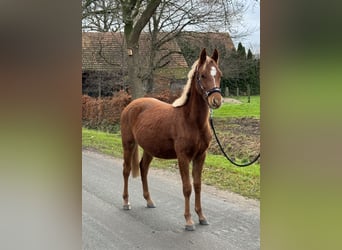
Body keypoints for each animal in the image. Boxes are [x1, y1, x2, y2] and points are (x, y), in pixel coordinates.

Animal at [121, 48, 223, 230]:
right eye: (203, 75)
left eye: (219, 74)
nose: (216, 100)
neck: (191, 121)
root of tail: (131, 105)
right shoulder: (183, 157)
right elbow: (187, 187)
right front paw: (189, 221)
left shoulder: (200, 156)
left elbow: (197, 185)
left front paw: (201, 217)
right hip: (128, 144)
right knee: (126, 170)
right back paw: (126, 202)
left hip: (149, 149)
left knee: (143, 168)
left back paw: (149, 200)